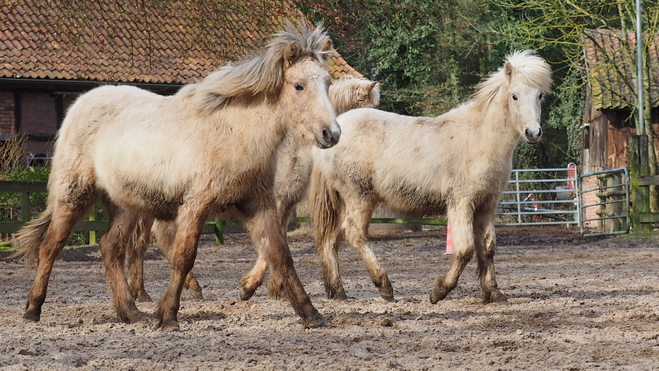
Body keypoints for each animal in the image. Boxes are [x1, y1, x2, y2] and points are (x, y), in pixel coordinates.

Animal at [11, 24, 340, 332]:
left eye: (327, 83)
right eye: (298, 86)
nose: (332, 134)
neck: (233, 132)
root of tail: (80, 105)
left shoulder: (259, 203)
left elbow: (280, 254)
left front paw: (311, 314)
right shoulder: (196, 205)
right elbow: (184, 257)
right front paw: (167, 316)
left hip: (125, 205)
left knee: (110, 248)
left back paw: (131, 313)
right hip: (74, 194)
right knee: (51, 246)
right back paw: (32, 309)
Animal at [125, 75, 382, 302]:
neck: (289, 146)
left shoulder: (284, 204)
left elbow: (278, 241)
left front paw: (276, 288)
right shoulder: (277, 200)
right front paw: (252, 287)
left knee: (142, 244)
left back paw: (141, 291)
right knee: (157, 239)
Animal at [310, 49, 552, 304]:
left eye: (540, 95)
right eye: (514, 96)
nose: (533, 133)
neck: (479, 138)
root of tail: (336, 130)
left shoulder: (486, 205)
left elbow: (487, 248)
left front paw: (494, 293)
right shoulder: (461, 203)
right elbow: (465, 249)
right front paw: (439, 291)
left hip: (341, 201)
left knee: (330, 241)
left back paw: (339, 292)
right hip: (359, 197)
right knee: (354, 234)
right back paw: (384, 286)